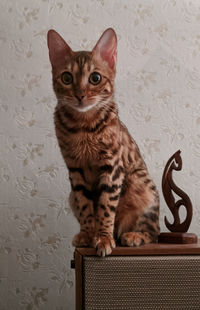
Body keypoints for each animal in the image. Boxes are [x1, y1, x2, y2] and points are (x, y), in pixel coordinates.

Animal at [47, 28, 159, 256]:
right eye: (66, 77)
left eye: (95, 78)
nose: (80, 95)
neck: (83, 126)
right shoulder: (75, 169)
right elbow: (85, 205)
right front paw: (89, 235)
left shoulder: (112, 166)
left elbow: (106, 206)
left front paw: (104, 238)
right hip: (71, 195)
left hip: (142, 184)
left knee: (154, 232)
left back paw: (132, 236)